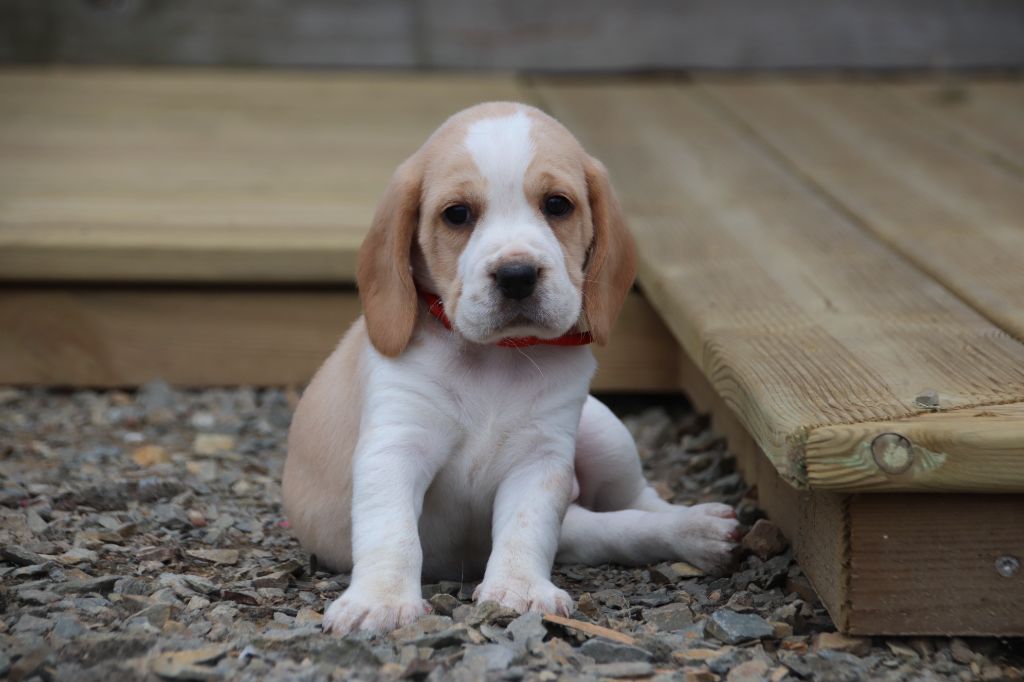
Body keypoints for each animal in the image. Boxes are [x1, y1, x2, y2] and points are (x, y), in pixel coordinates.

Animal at [284, 103, 741, 634]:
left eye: (558, 205)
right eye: (457, 214)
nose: (517, 275)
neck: (496, 358)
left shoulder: (541, 458)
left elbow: (526, 530)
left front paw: (518, 589)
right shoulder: (396, 446)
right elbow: (391, 531)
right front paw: (380, 600)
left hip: (603, 431)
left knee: (637, 501)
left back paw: (697, 527)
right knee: (610, 528)